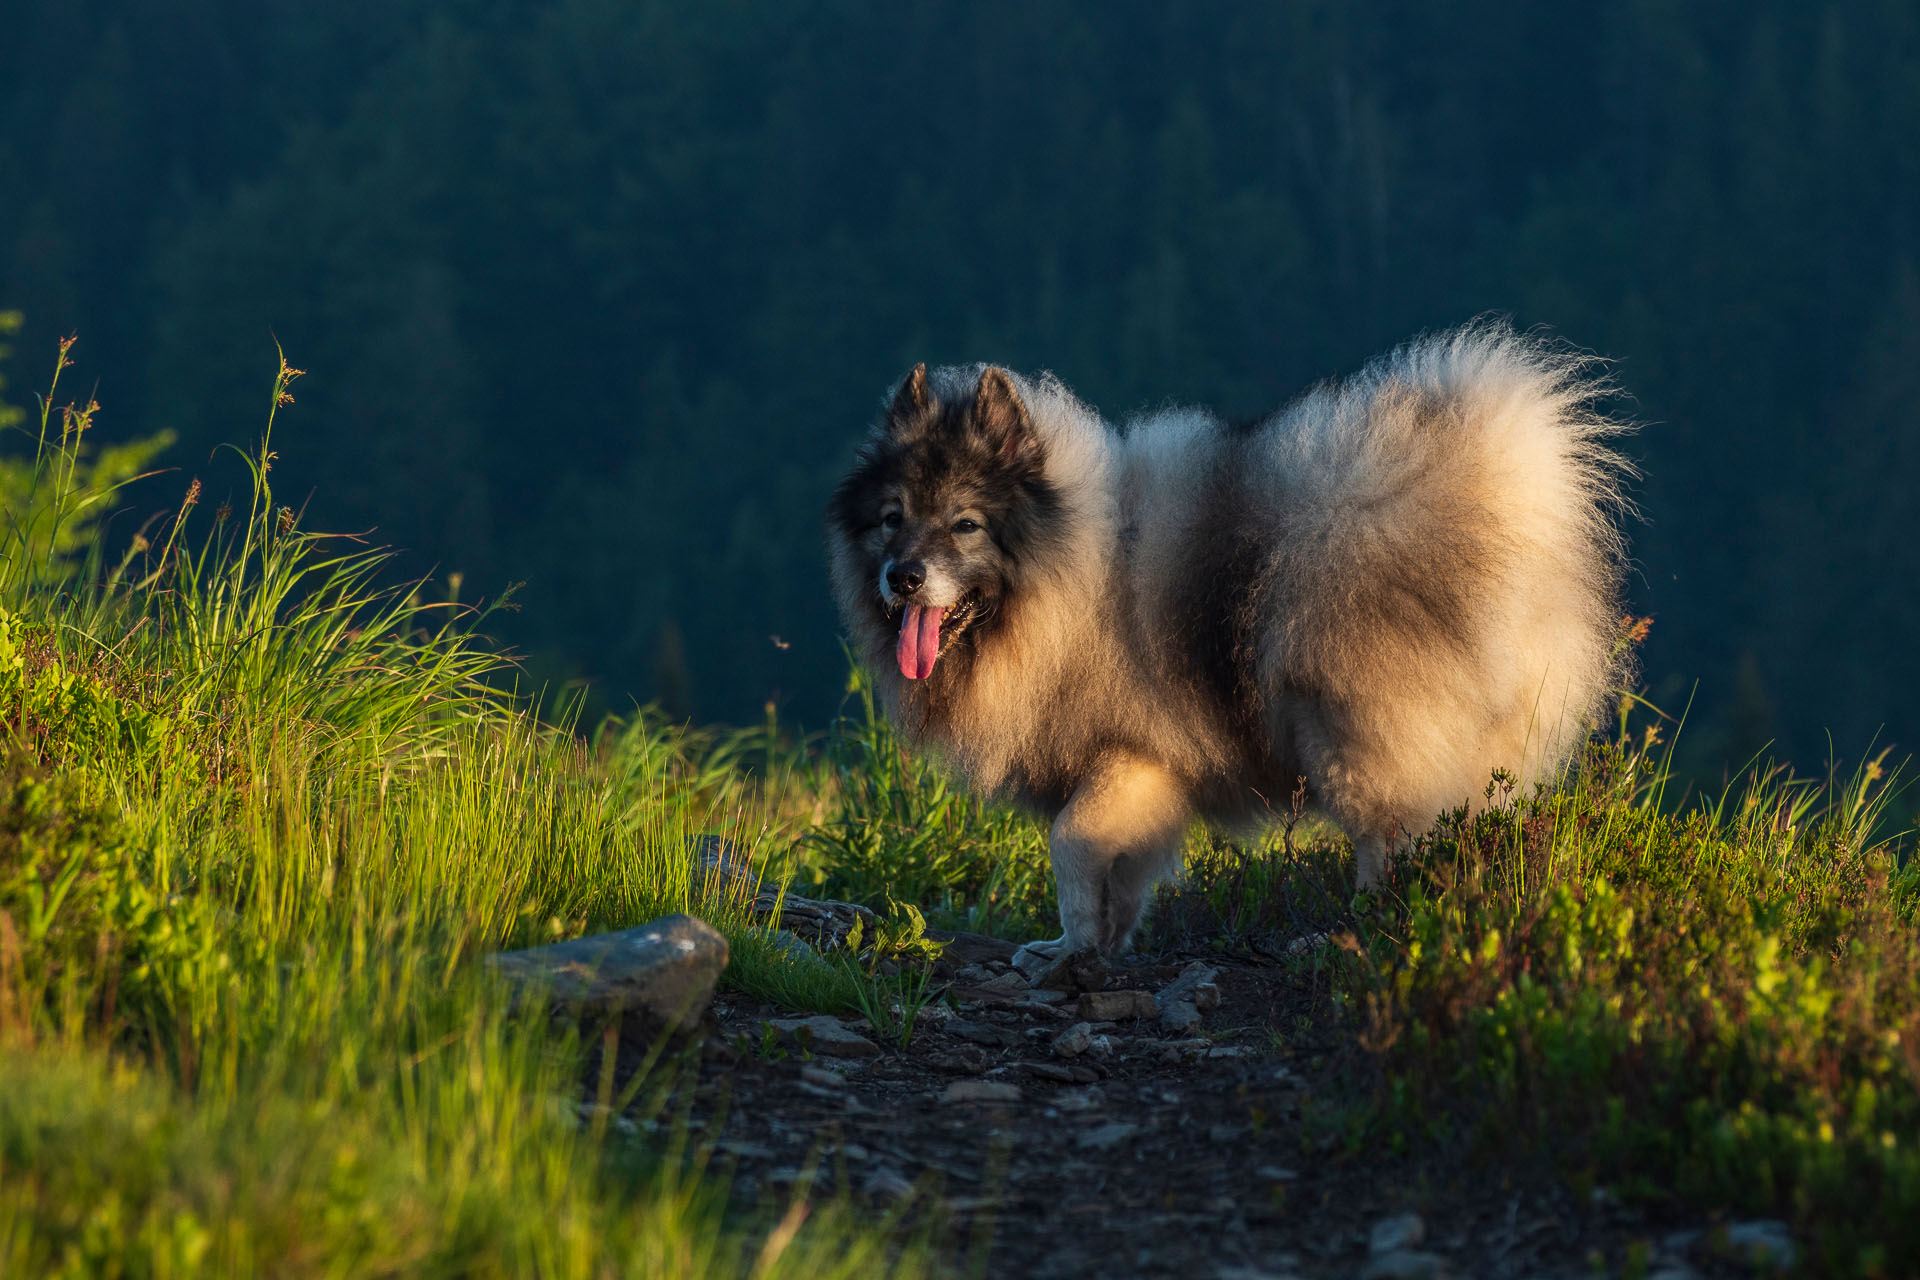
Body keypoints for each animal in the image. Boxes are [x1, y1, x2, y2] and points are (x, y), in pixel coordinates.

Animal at [825, 320, 1635, 971]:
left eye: (965, 524)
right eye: (893, 518)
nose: (903, 576)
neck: (1070, 583)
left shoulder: (1130, 759)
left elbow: (1070, 848)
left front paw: (1072, 950)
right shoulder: (1144, 785)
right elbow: (1117, 878)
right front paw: (1096, 945)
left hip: (1350, 740)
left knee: (1384, 843)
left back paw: (1353, 931)